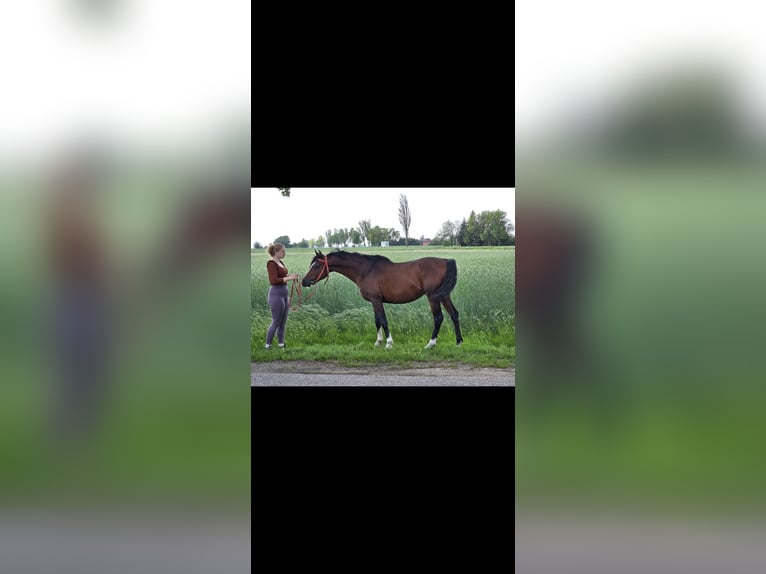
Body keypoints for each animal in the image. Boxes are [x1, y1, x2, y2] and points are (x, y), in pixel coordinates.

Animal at [301, 250, 463, 349]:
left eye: (316, 265)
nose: (304, 281)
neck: (366, 270)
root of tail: (445, 261)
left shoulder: (376, 300)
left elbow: (383, 320)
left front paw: (389, 343)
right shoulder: (374, 301)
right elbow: (377, 321)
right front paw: (378, 342)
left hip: (433, 298)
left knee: (438, 318)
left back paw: (430, 344)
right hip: (444, 296)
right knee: (454, 314)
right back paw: (459, 342)